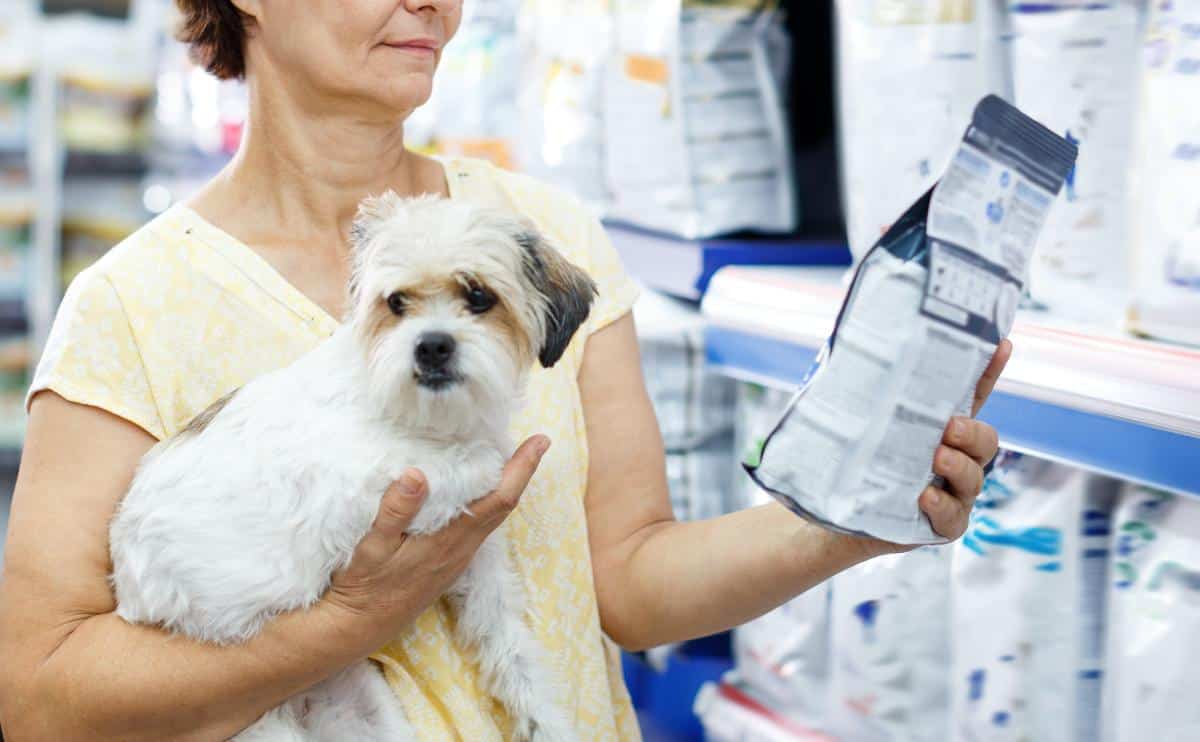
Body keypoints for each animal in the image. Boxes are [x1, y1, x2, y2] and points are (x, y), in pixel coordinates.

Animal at [110, 192, 597, 739]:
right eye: (396, 303)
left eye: (478, 296)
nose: (431, 344)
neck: (425, 415)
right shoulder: (357, 492)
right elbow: (469, 466)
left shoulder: (479, 568)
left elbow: (510, 649)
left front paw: (542, 720)